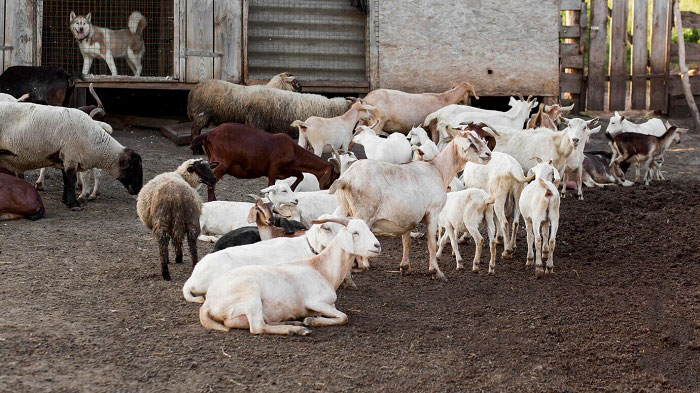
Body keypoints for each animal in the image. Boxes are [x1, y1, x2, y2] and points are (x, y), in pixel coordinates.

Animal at [190, 122, 340, 201]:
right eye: (334, 176)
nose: (329, 191)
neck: (293, 150)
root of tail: (208, 134)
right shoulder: (273, 168)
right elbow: (271, 183)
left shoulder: (287, 170)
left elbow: (300, 176)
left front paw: (291, 189)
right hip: (221, 164)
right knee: (211, 182)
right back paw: (213, 201)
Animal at [197, 217, 382, 334]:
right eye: (355, 232)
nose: (377, 245)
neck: (322, 269)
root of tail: (209, 301)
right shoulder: (316, 301)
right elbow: (344, 317)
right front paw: (311, 321)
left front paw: (310, 319)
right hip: (250, 294)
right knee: (257, 327)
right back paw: (296, 329)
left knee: (238, 322)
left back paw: (291, 321)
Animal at [332, 127, 492, 280]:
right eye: (470, 142)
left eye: (480, 138)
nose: (488, 154)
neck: (438, 170)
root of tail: (346, 179)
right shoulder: (433, 213)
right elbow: (431, 244)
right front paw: (436, 271)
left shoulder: (407, 217)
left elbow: (406, 241)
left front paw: (405, 267)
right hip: (363, 215)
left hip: (344, 211)